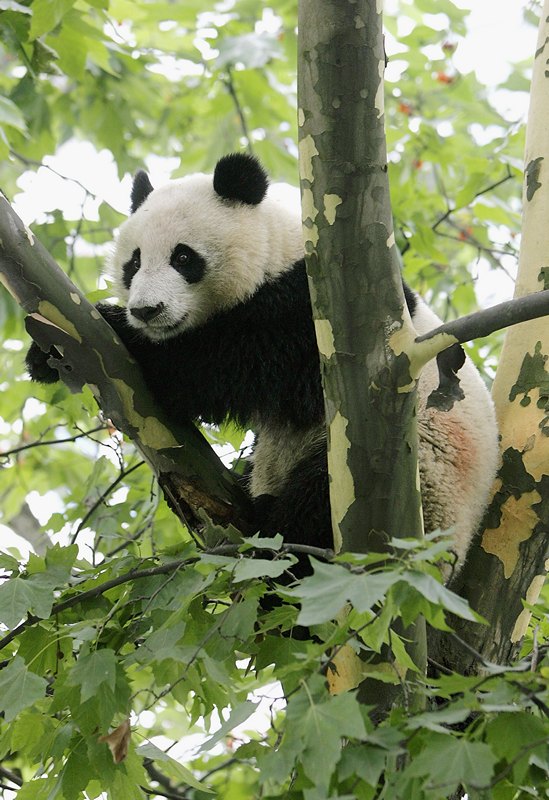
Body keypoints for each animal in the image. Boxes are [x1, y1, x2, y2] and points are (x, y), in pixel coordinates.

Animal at [24, 152, 496, 576]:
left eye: (183, 258)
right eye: (134, 261)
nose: (146, 310)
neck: (278, 253)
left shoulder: (323, 319)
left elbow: (239, 362)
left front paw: (120, 329)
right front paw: (45, 357)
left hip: (416, 480)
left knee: (318, 503)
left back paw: (272, 539)